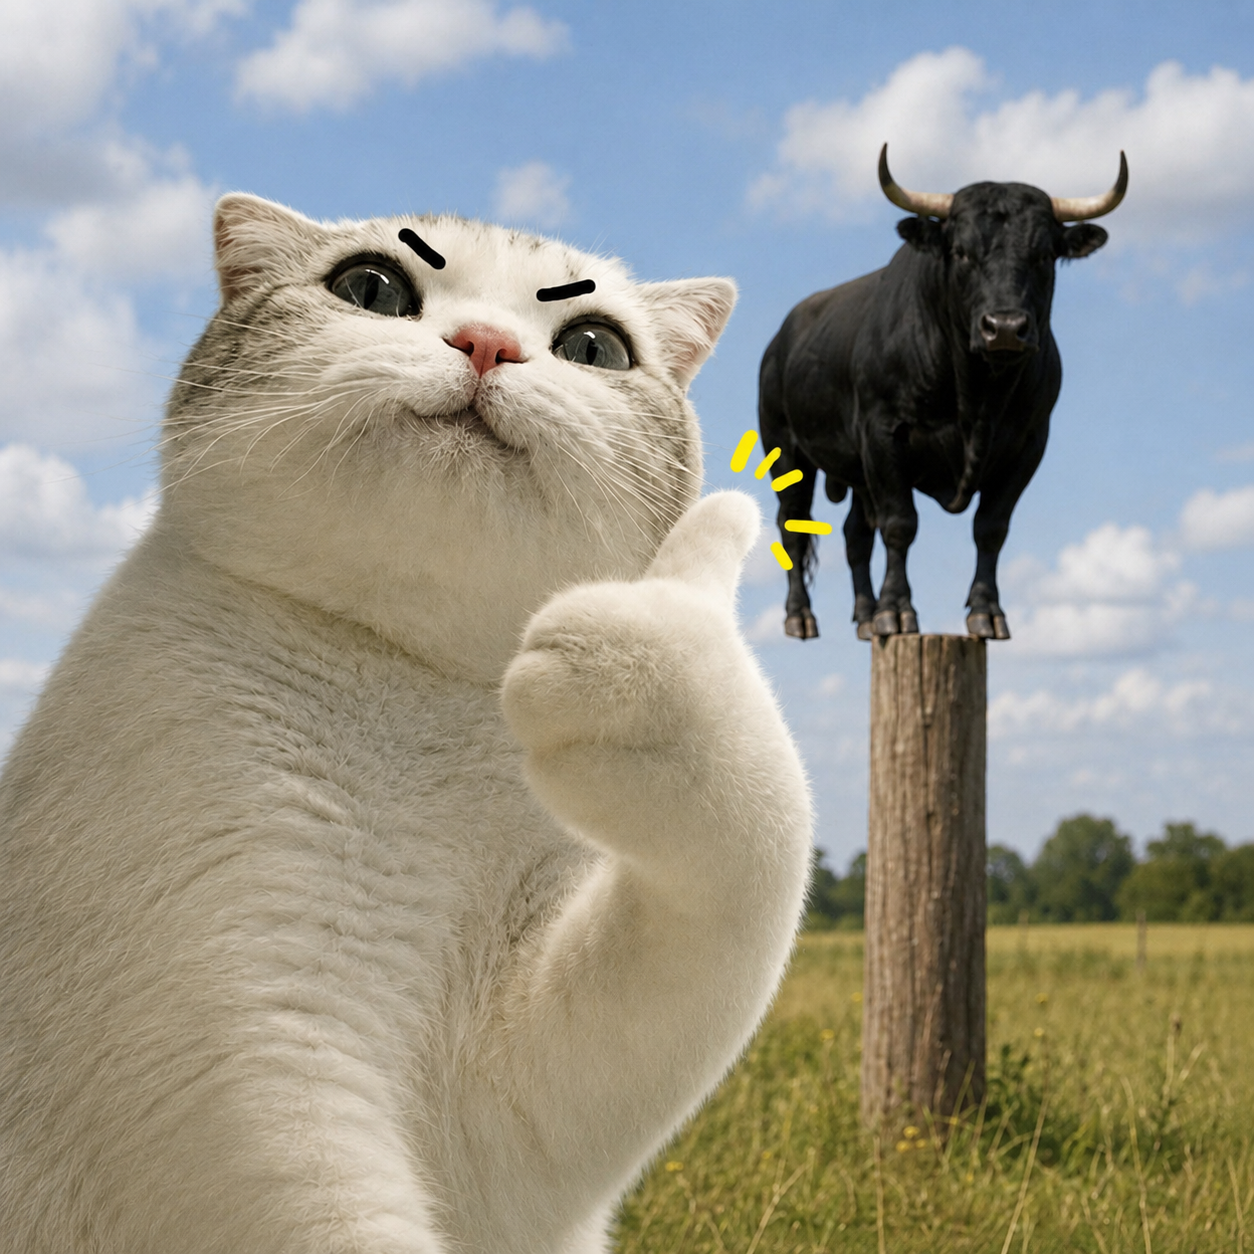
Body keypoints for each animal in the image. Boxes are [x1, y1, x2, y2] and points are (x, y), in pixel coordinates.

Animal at [758, 145, 1127, 641]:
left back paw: (865, 616)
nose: (1005, 327)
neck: (976, 395)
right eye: (961, 252)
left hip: (856, 476)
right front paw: (897, 612)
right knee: (792, 529)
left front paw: (985, 612)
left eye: (1044, 255)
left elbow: (991, 528)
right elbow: (900, 524)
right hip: (786, 451)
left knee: (856, 535)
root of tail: (781, 338)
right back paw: (801, 617)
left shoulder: (1028, 445)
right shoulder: (884, 434)